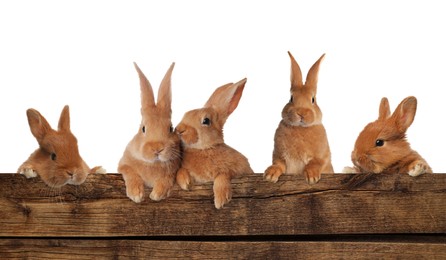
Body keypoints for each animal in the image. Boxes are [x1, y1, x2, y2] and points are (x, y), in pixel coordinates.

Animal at [119, 61, 182, 203]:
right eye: (143, 128)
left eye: (171, 128)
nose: (157, 148)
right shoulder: (123, 164)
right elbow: (130, 172)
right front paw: (136, 194)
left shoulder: (172, 172)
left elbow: (166, 179)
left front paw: (157, 194)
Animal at [175, 77, 253, 209]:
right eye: (186, 114)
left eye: (206, 121)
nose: (179, 129)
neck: (205, 149)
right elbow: (180, 172)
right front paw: (185, 182)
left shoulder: (239, 170)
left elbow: (223, 174)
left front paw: (221, 200)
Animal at [264, 51, 332, 184]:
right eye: (291, 98)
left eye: (313, 99)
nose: (301, 113)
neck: (300, 128)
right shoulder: (279, 156)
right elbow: (278, 165)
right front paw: (270, 175)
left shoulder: (322, 156)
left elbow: (316, 163)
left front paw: (311, 176)